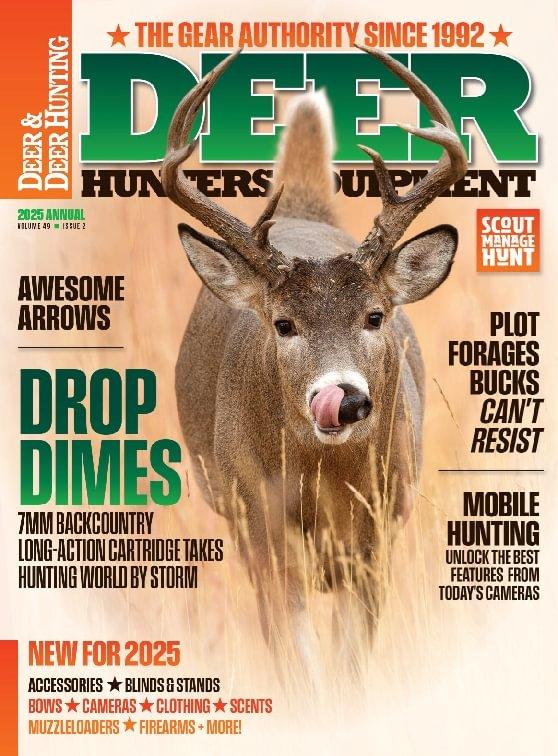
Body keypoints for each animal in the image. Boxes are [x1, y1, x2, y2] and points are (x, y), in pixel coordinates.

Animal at [162, 47, 467, 686]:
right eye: (283, 324)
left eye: (375, 315)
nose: (345, 398)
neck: (327, 484)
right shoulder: (263, 532)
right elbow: (300, 672)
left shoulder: (379, 534)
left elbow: (350, 671)